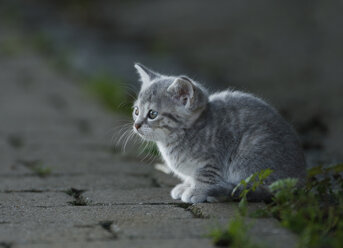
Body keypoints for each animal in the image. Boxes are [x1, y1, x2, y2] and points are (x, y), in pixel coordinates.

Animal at [133, 63, 308, 202]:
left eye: (152, 114)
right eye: (136, 111)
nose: (136, 125)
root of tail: (301, 177)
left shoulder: (212, 160)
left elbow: (205, 177)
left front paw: (196, 191)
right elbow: (191, 177)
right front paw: (186, 185)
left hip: (251, 157)